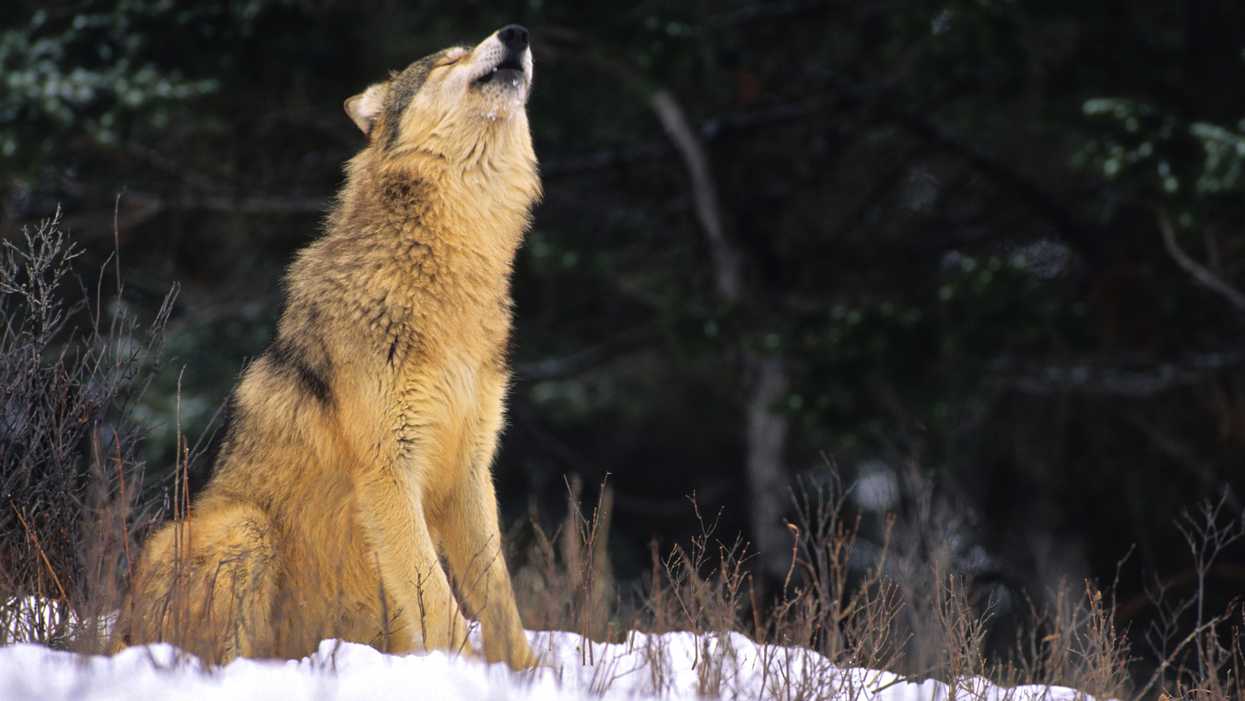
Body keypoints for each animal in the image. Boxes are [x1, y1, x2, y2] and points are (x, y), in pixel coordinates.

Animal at [116, 25, 542, 669]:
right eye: (450, 57)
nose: (516, 34)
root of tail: (111, 631)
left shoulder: (469, 471)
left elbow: (500, 601)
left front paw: (529, 674)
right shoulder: (388, 470)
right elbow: (442, 604)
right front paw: (462, 673)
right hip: (242, 527)